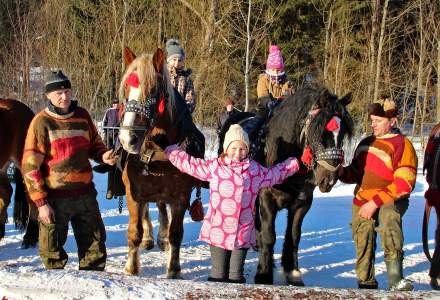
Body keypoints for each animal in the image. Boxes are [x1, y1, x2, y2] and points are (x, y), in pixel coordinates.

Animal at [118, 48, 205, 278]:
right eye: (127, 88)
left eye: (153, 92)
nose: (128, 139)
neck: (158, 151)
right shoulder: (134, 192)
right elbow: (135, 230)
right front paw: (131, 267)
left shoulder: (181, 197)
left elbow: (176, 233)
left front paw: (174, 268)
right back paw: (150, 237)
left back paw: (162, 237)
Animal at [217, 85, 354, 284]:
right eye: (317, 132)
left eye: (342, 134)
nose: (328, 179)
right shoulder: (267, 198)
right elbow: (269, 235)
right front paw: (264, 273)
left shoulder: (302, 203)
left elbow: (293, 236)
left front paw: (292, 271)